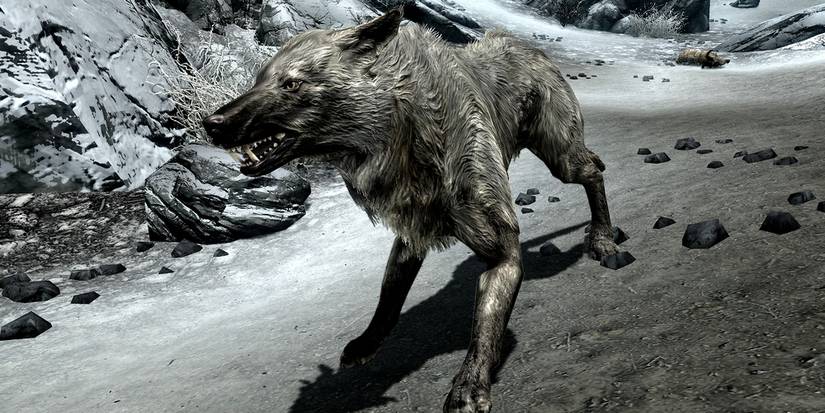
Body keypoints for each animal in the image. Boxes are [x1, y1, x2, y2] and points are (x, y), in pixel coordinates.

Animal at [203, 8, 619, 412]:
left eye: (291, 84)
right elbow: (388, 297)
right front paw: (367, 343)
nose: (212, 123)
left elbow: (485, 325)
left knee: (594, 170)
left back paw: (603, 240)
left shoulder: (503, 253)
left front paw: (470, 386)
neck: (402, 131)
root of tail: (532, 50)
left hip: (560, 157)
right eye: (258, 80)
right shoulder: (411, 235)